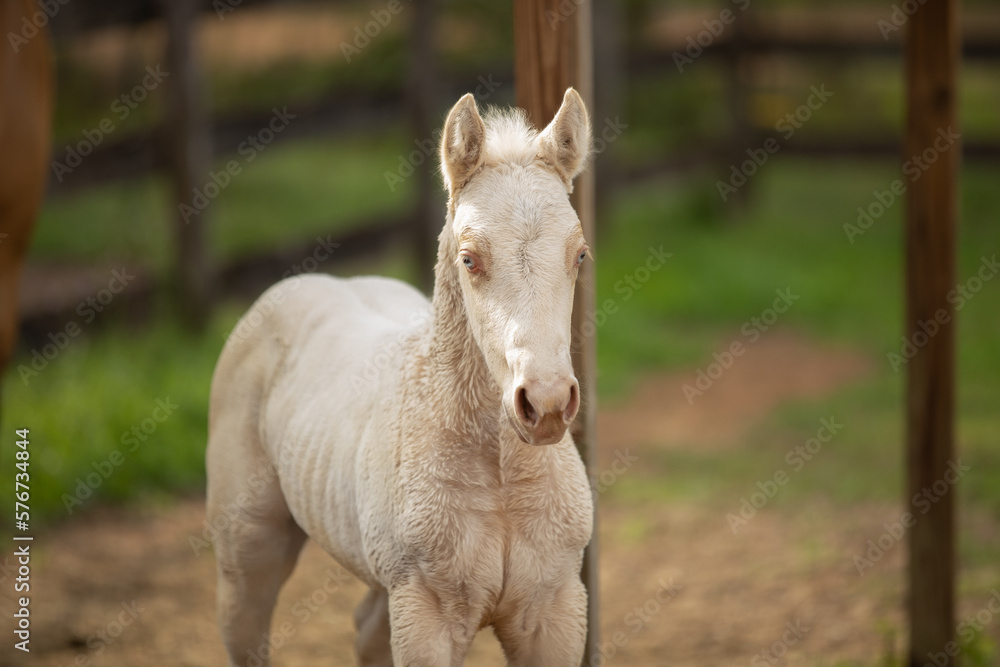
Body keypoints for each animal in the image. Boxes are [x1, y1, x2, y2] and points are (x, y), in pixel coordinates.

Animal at [207, 88, 594, 667]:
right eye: (469, 259)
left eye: (580, 255)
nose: (545, 404)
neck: (501, 476)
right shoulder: (425, 613)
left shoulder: (554, 611)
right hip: (248, 555)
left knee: (366, 629)